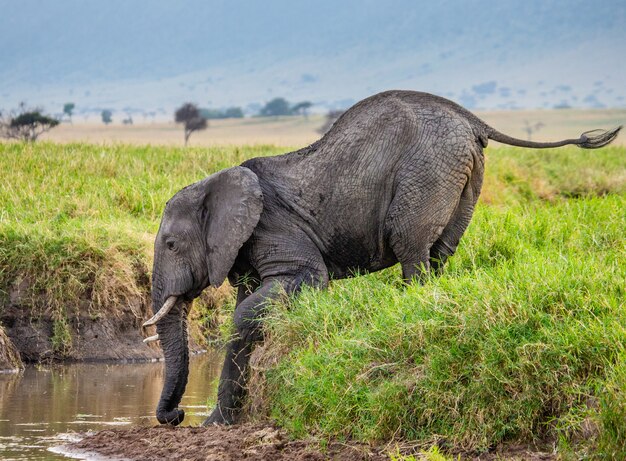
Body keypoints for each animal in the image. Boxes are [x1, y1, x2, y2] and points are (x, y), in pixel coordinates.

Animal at [143, 89, 620, 424]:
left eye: (171, 245)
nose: (177, 415)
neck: (216, 181)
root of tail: (472, 119)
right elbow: (251, 298)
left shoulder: (273, 226)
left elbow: (293, 286)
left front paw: (215, 425)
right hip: (465, 173)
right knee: (438, 253)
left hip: (426, 170)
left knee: (411, 245)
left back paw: (412, 307)